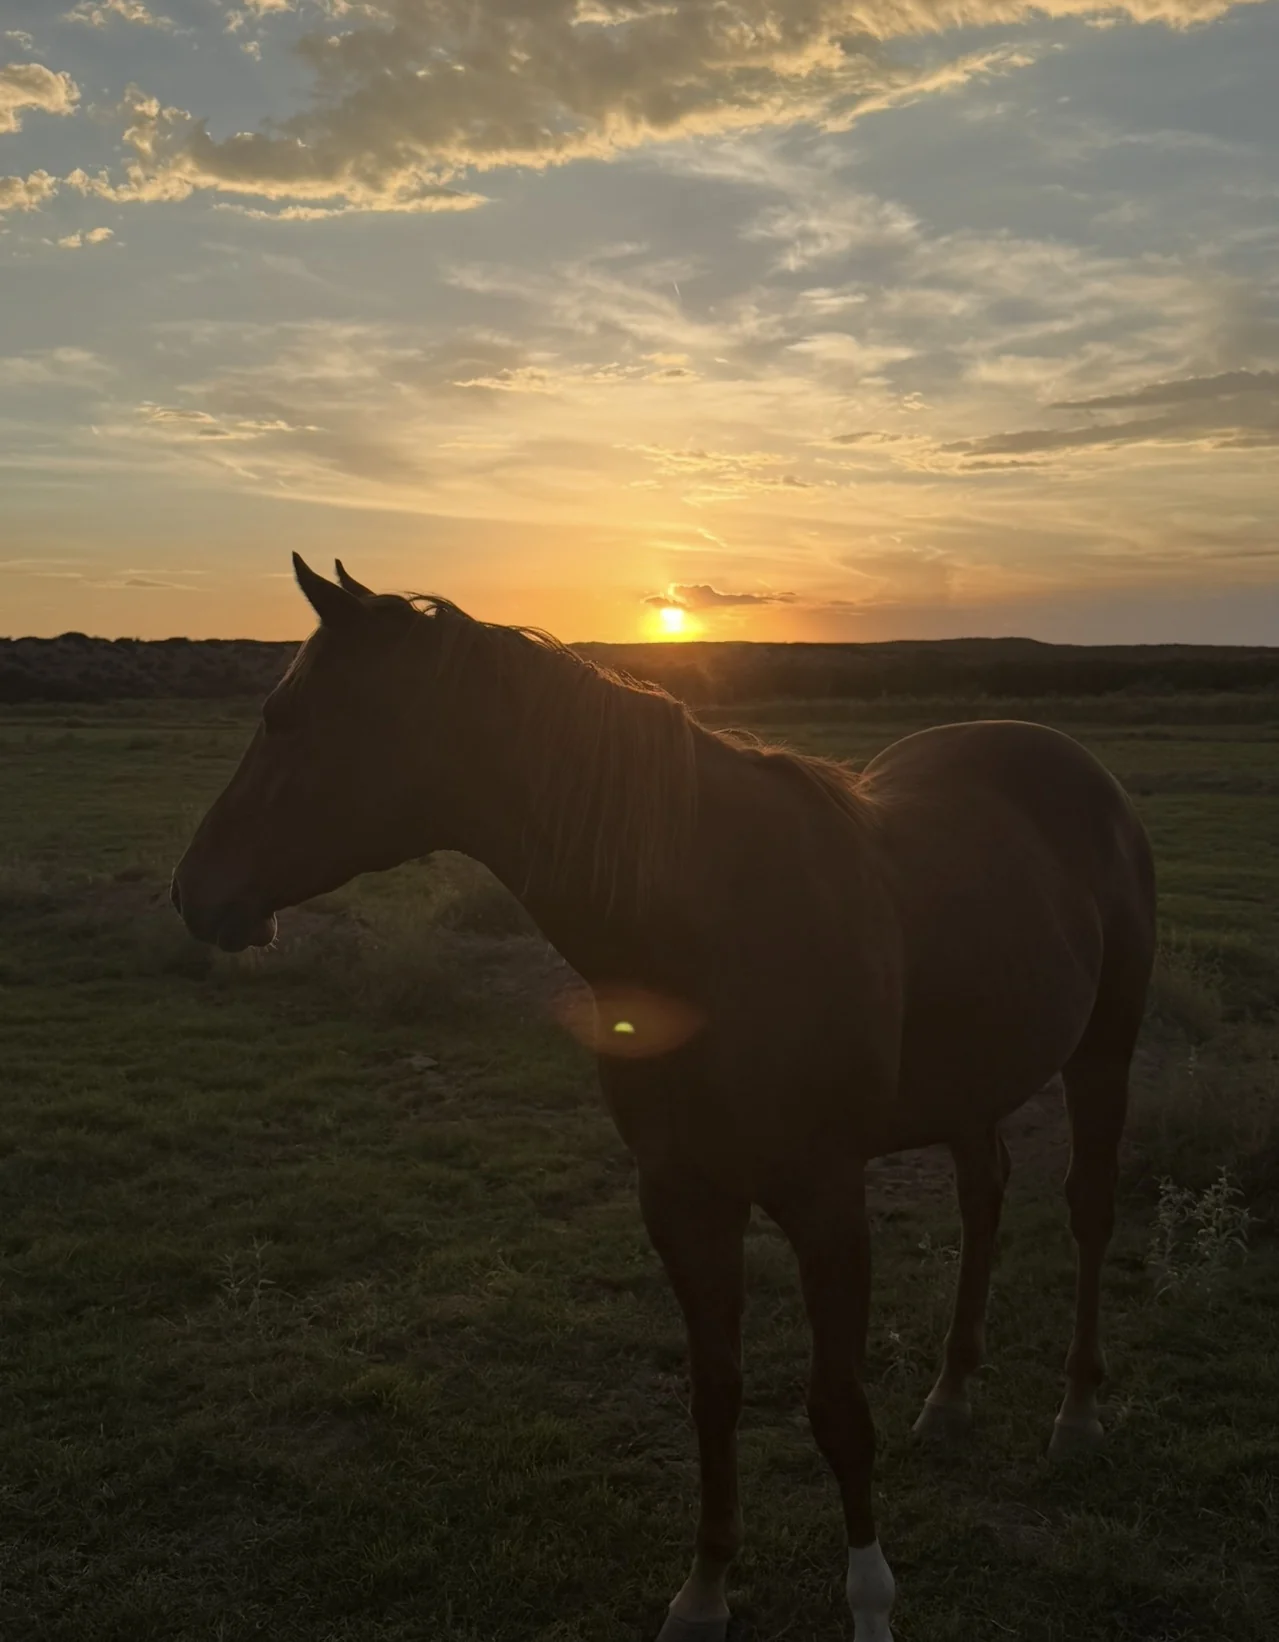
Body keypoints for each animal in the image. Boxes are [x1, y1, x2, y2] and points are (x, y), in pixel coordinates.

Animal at [172, 556, 1156, 1642]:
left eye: (288, 716)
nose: (193, 892)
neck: (712, 930)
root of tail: (1069, 763)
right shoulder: (681, 1196)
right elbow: (714, 1390)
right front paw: (705, 1588)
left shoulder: (825, 1201)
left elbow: (836, 1409)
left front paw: (868, 1601)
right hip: (973, 1082)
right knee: (984, 1198)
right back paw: (949, 1397)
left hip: (1102, 1049)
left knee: (1087, 1208)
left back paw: (1077, 1414)